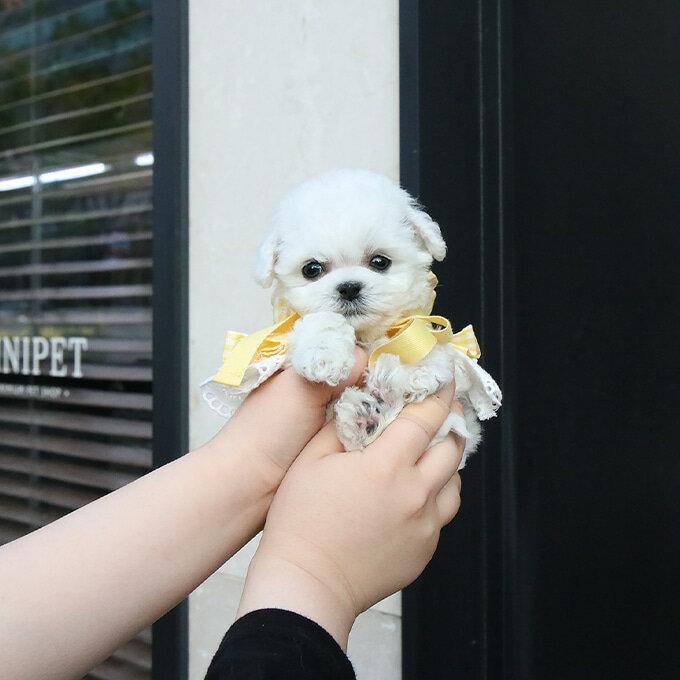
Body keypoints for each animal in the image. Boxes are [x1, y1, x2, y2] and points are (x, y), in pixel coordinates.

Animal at [202, 170, 500, 468]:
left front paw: (417, 366)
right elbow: (320, 322)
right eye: (312, 269)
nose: (348, 288)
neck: (364, 335)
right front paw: (323, 356)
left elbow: (415, 338)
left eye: (380, 262)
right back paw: (363, 416)